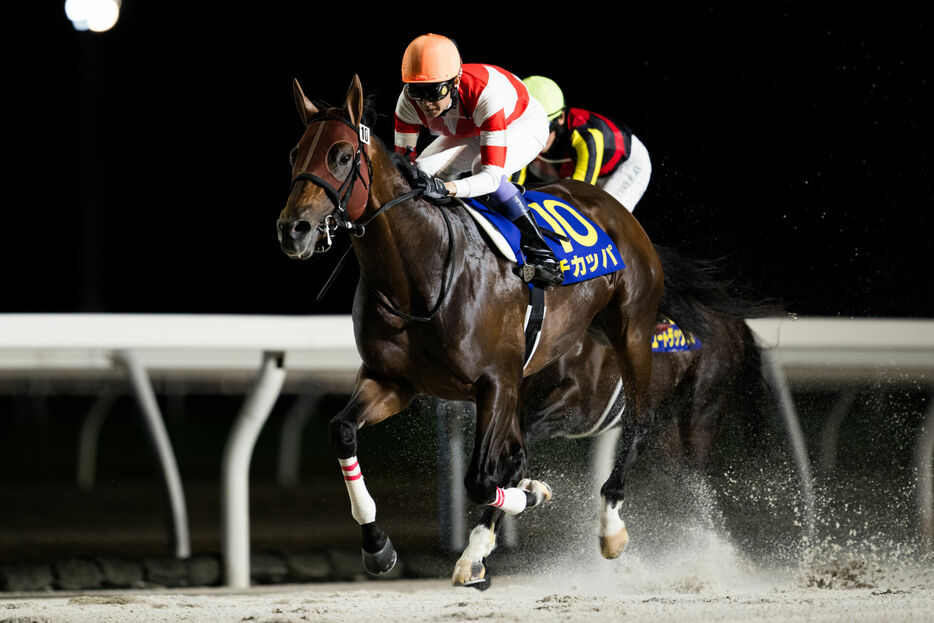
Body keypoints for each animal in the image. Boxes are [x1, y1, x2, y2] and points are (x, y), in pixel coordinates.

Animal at [278, 75, 664, 588]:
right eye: (295, 153)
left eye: (342, 155)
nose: (293, 230)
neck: (418, 276)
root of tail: (610, 205)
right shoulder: (391, 381)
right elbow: (342, 431)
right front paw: (378, 547)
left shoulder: (495, 382)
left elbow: (483, 478)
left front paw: (533, 495)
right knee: (519, 450)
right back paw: (476, 552)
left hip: (630, 333)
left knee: (637, 420)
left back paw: (608, 527)